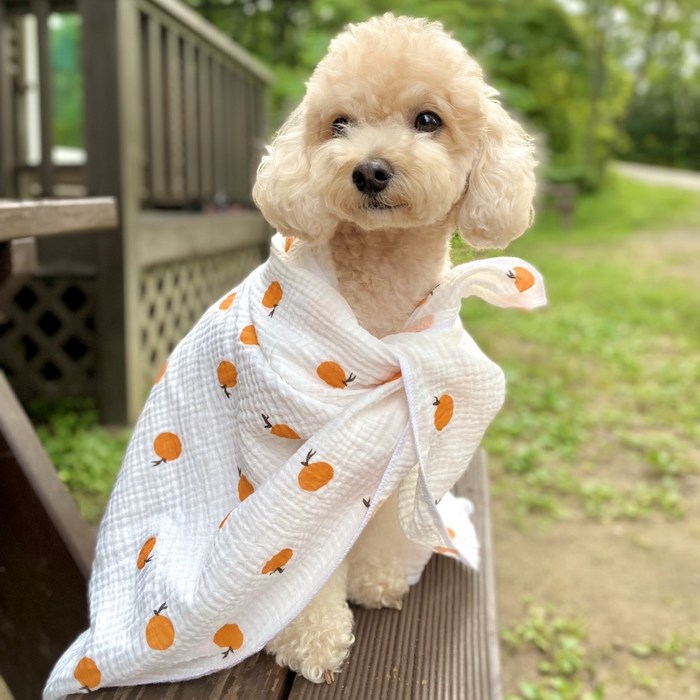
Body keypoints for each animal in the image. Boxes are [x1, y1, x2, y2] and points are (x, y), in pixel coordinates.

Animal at [253, 12, 536, 684]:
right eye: (339, 124)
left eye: (428, 120)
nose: (369, 170)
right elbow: (301, 559)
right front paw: (312, 639)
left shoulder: (398, 442)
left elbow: (381, 516)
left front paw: (378, 576)